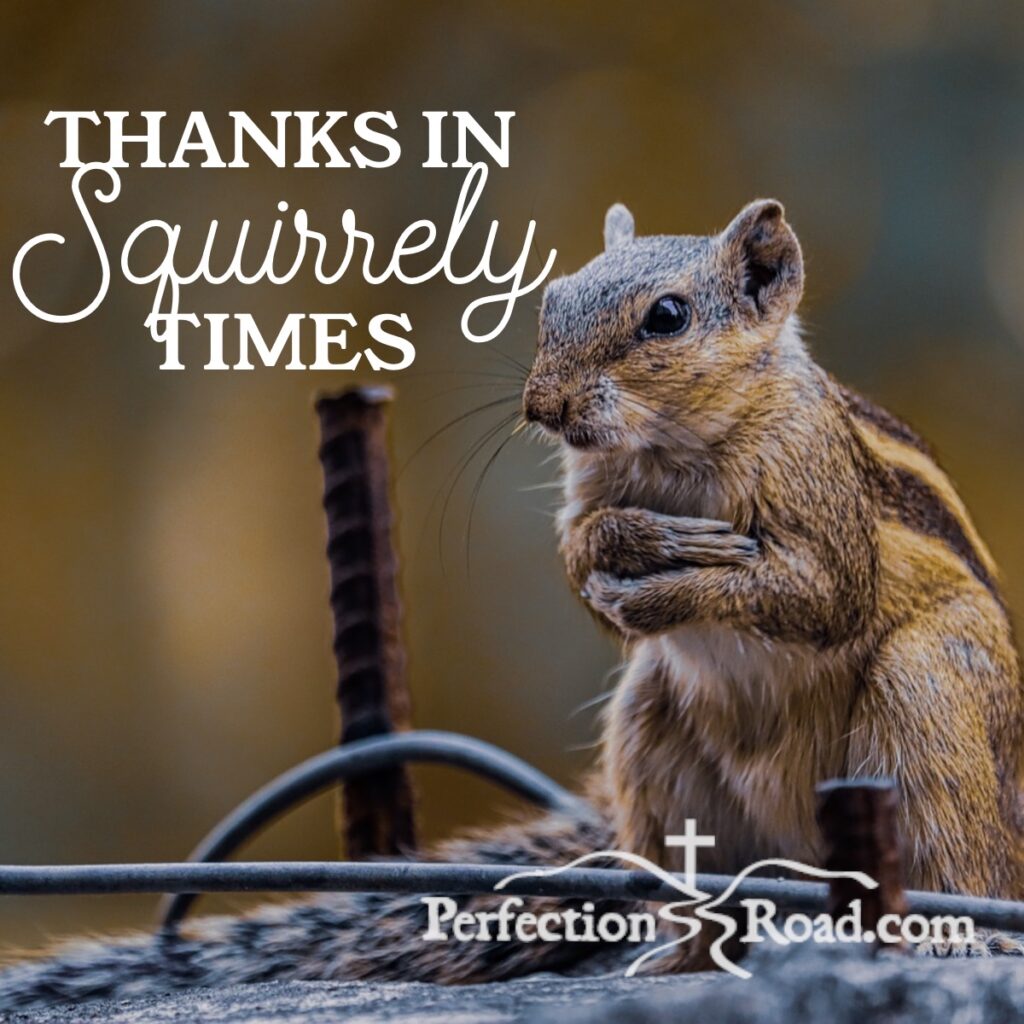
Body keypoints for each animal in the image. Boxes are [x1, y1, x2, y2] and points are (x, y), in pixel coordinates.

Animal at [1, 200, 1021, 1012]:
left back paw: (950, 935)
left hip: (925, 697)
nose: (544, 407)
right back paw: (677, 959)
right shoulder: (589, 491)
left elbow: (821, 595)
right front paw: (629, 548)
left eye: (668, 316)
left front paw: (684, 571)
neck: (673, 449)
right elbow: (581, 559)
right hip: (653, 742)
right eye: (550, 301)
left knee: (955, 860)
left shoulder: (818, 497)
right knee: (705, 905)